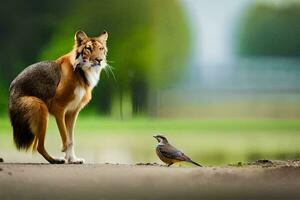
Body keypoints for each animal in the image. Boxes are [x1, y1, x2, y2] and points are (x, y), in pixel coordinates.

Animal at [8, 30, 109, 164]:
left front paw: (73, 159)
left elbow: (71, 139)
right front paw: (65, 153)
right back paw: (56, 160)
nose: (99, 60)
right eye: (88, 48)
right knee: (39, 146)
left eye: (101, 49)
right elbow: (65, 137)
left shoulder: (72, 112)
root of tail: (11, 90)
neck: (81, 73)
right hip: (41, 107)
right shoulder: (59, 108)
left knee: (38, 147)